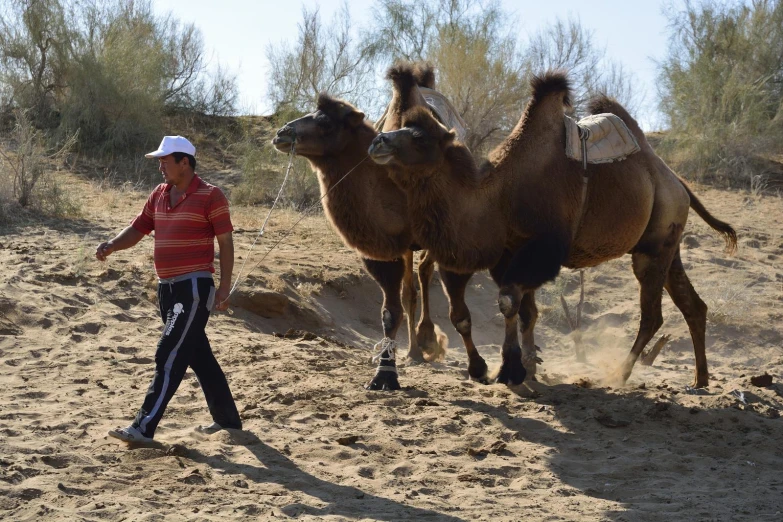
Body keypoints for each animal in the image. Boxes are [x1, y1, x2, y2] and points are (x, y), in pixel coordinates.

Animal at [274, 69, 450, 388]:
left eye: (325, 121)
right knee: (411, 290)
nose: (282, 133)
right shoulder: (383, 250)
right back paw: (415, 351)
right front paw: (385, 374)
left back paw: (428, 341)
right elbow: (391, 311)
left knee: (425, 275)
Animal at [370, 70, 740, 386]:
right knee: (693, 305)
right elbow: (525, 311)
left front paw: (511, 370)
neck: (499, 196)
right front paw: (527, 367)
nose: (378, 142)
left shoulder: (543, 249)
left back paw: (618, 375)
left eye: (418, 136)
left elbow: (509, 301)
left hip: (654, 246)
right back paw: (699, 381)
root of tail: (677, 182)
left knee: (652, 316)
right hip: (666, 242)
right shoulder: (509, 252)